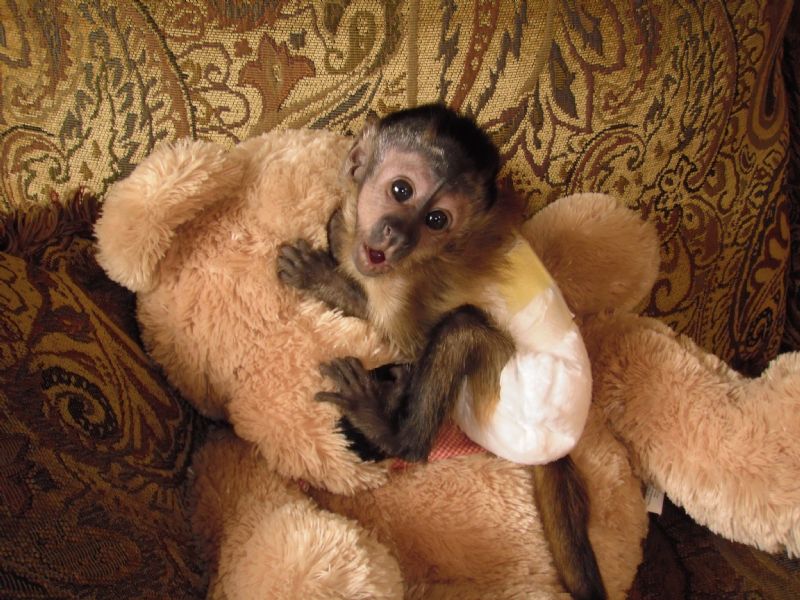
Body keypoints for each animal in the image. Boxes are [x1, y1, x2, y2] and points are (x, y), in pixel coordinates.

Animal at [276, 104, 606, 599]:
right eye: (401, 190)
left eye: (436, 221)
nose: (395, 235)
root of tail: (561, 444)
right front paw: (339, 232)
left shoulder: (406, 283)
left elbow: (405, 336)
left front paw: (320, 276)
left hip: (515, 400)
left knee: (460, 328)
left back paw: (392, 430)